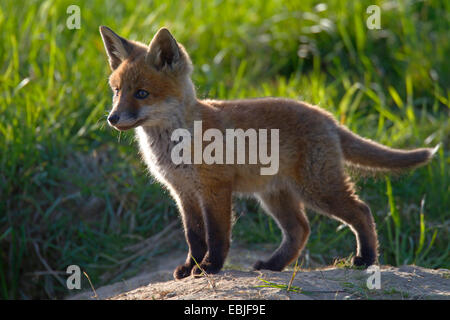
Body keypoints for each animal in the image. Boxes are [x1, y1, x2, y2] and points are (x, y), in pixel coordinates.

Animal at [99, 26, 440, 278]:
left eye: (142, 94)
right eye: (117, 91)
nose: (112, 118)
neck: (177, 144)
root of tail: (327, 116)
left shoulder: (215, 189)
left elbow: (218, 235)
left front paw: (210, 268)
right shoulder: (182, 193)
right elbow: (194, 236)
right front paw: (191, 266)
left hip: (318, 189)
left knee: (361, 211)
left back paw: (366, 259)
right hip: (276, 196)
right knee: (300, 230)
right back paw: (274, 266)